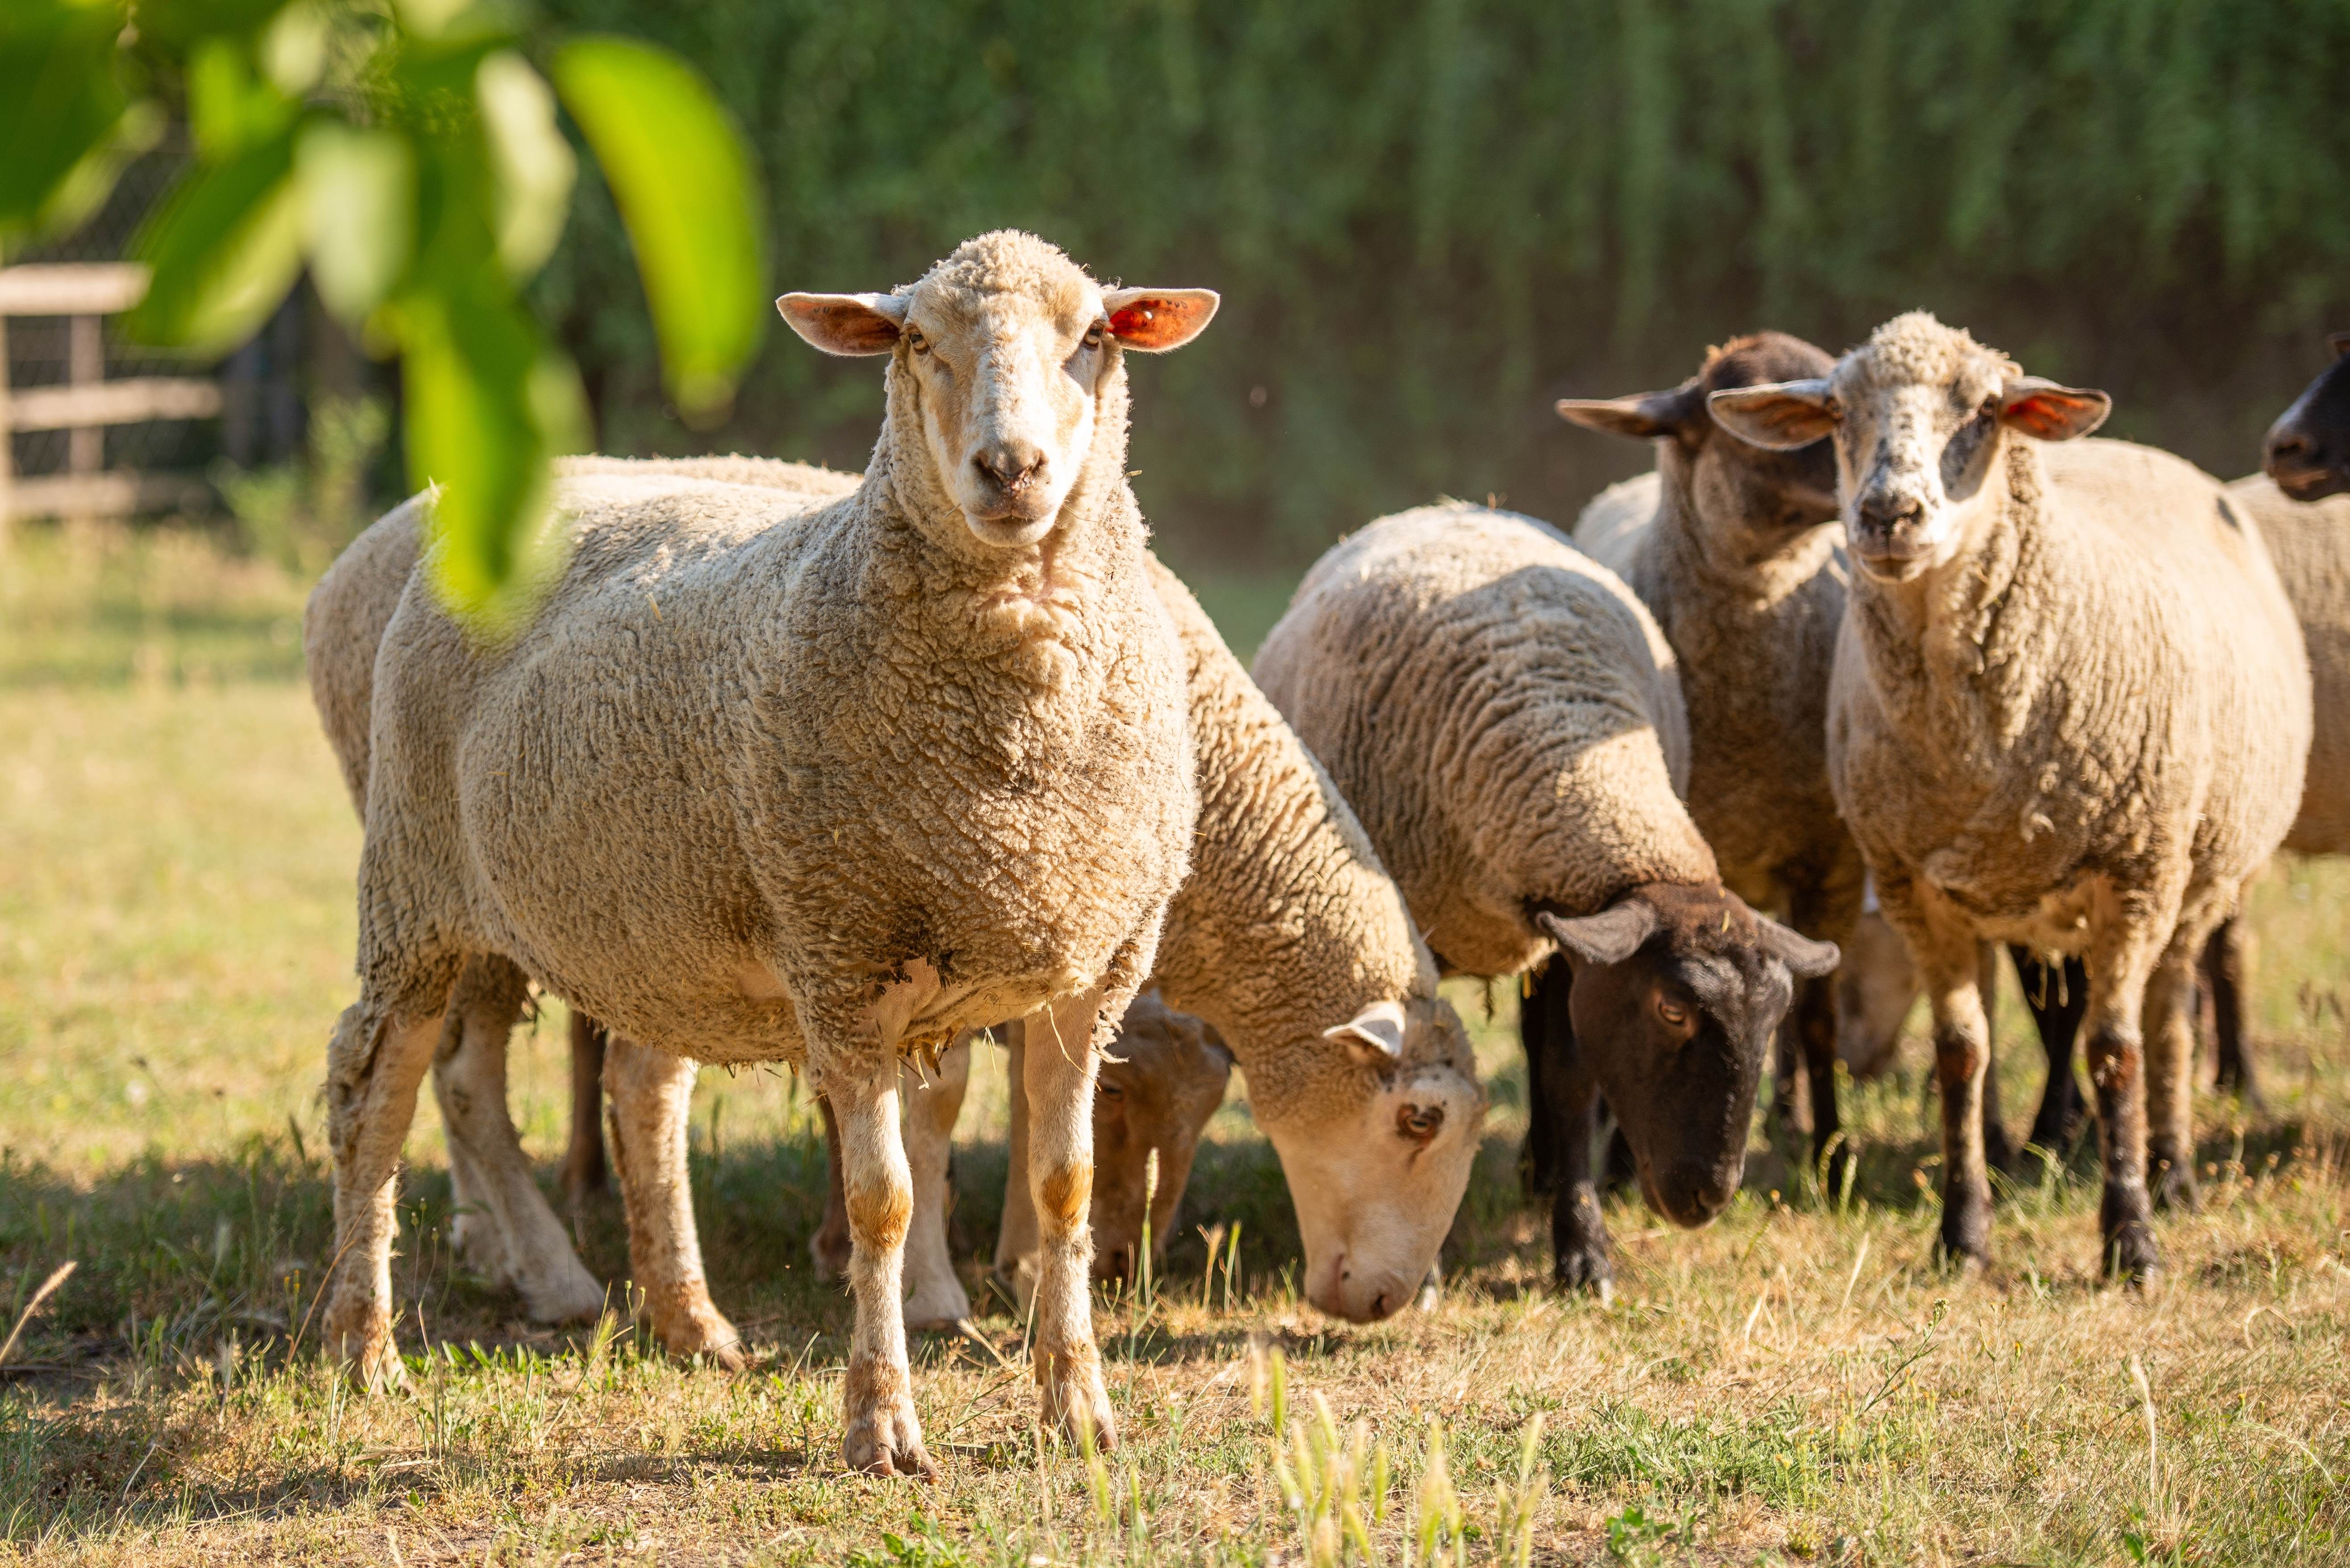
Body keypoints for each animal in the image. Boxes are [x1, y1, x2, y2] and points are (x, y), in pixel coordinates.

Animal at [311, 230, 1218, 1476]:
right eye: (916, 341)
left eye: (1092, 336)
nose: (1011, 468)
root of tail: (463, 516)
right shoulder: (844, 963)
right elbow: (883, 1200)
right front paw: (881, 1422)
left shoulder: (1090, 969)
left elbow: (1065, 1186)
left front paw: (1076, 1404)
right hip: (416, 886)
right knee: (377, 1096)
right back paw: (367, 1348)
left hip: (655, 920)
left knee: (641, 1095)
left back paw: (690, 1321)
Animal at [1254, 503, 1839, 1294]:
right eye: (1672, 1010)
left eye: (1776, 1016)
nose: (1707, 1201)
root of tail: (1449, 507)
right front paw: (1423, 1268)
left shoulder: (1574, 951)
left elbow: (1568, 1084)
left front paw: (1583, 1252)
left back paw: (1540, 1169)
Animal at [1710, 312, 2312, 1281]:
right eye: (1837, 411)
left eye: (1987, 410)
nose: (1887, 515)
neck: (1973, 747)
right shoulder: (1915, 887)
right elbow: (1961, 1053)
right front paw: (1962, 1232)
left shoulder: (2134, 872)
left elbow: (2114, 1051)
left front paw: (2131, 1237)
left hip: (2189, 874)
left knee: (2170, 1019)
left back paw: (2175, 1170)